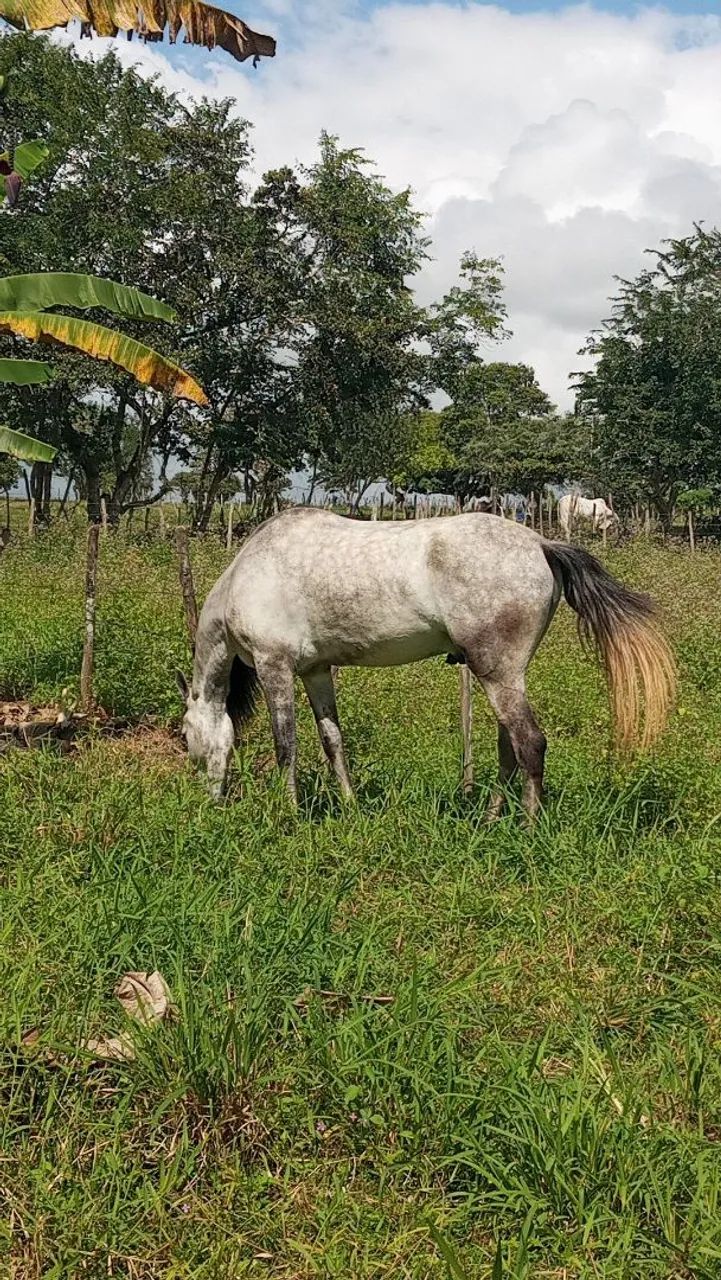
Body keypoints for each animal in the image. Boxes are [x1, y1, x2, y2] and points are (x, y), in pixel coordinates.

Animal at [176, 508, 675, 823]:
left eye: (184, 735)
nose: (209, 801)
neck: (247, 574)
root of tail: (540, 543)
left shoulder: (274, 665)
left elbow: (287, 747)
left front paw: (290, 815)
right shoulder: (316, 672)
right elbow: (333, 741)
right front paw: (351, 806)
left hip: (497, 673)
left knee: (530, 743)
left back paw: (529, 829)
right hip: (504, 677)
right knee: (509, 748)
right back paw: (490, 820)